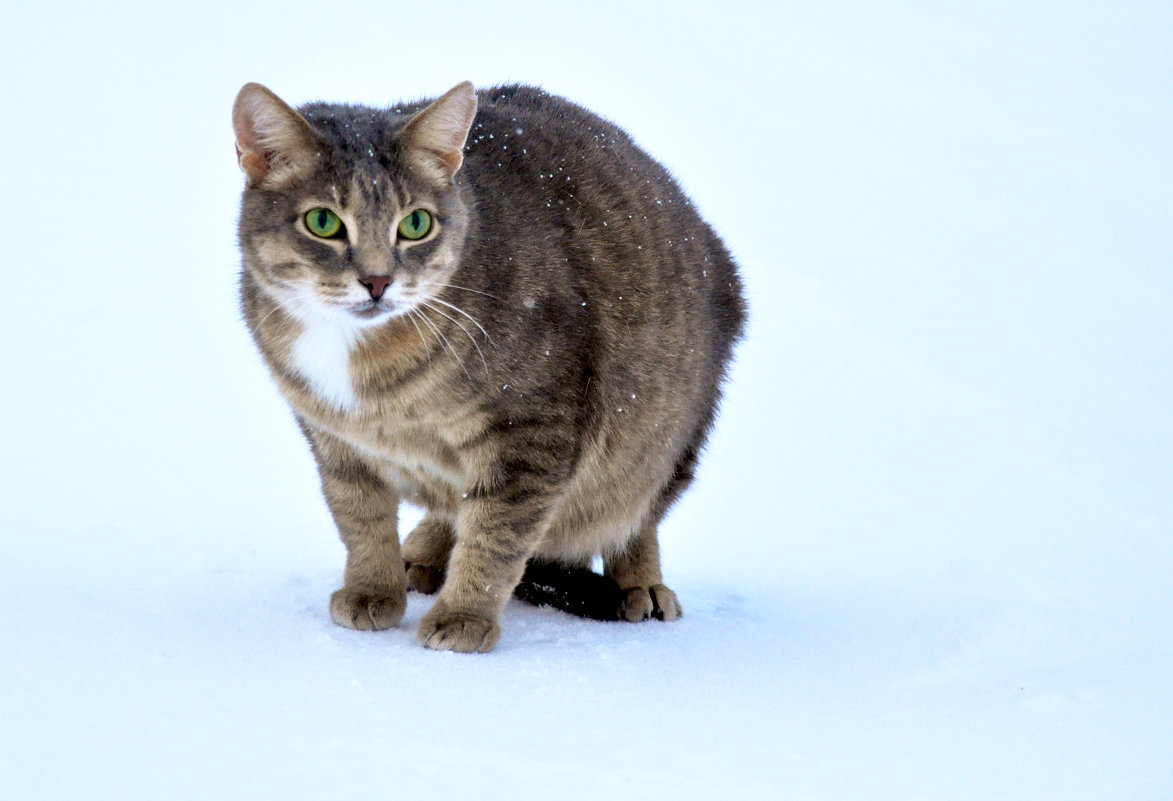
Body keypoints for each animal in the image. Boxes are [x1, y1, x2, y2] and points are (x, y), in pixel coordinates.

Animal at [233, 81, 746, 656]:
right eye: (322, 222)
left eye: (415, 224)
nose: (378, 281)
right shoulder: (334, 439)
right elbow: (360, 518)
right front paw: (373, 590)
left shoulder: (530, 435)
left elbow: (496, 535)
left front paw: (463, 616)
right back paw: (423, 552)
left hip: (663, 436)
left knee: (636, 515)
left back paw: (641, 583)